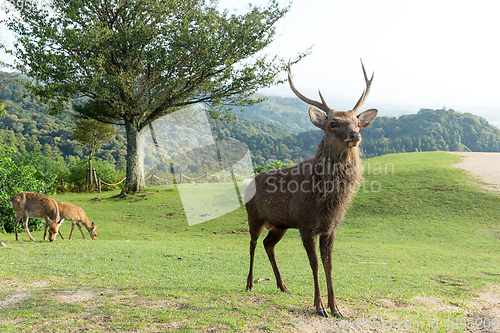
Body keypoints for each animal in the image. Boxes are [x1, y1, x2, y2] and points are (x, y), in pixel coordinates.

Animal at [244, 59, 376, 316]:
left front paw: (336, 307)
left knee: (268, 244)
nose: (355, 135)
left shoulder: (330, 228)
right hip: (254, 216)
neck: (326, 201)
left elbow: (329, 265)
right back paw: (249, 284)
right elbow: (314, 264)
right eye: (333, 123)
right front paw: (319, 306)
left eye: (357, 122)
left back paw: (282, 285)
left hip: (280, 225)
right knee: (253, 243)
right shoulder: (306, 225)